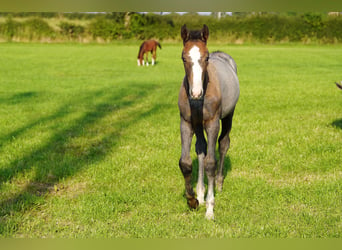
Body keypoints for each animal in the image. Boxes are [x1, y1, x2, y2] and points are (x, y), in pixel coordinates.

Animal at [178, 24, 239, 220]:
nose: (196, 93)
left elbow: (211, 162)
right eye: (183, 57)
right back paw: (200, 193)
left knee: (223, 144)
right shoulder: (186, 123)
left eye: (206, 57)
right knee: (201, 149)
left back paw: (218, 184)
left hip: (228, 116)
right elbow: (186, 163)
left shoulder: (213, 123)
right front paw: (193, 200)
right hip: (198, 125)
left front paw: (210, 209)